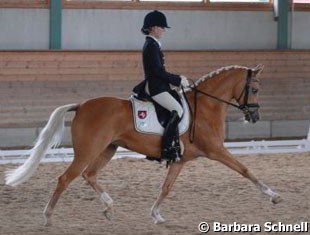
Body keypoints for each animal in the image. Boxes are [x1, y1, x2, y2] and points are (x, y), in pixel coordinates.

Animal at [4, 64, 282, 226]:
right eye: (255, 89)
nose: (254, 116)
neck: (205, 106)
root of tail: (82, 105)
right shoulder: (217, 151)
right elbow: (246, 170)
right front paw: (273, 196)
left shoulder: (180, 160)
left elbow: (166, 188)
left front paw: (156, 214)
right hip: (88, 151)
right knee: (65, 178)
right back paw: (48, 216)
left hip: (107, 149)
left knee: (89, 175)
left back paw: (108, 207)